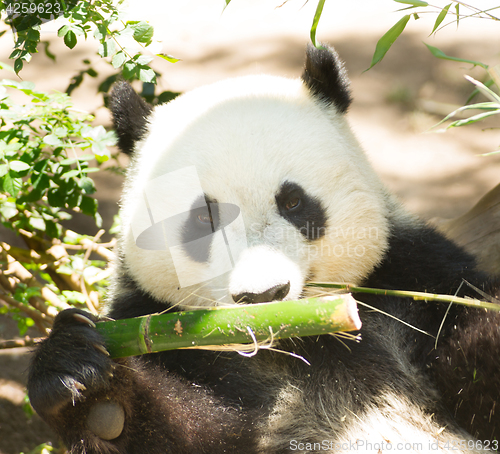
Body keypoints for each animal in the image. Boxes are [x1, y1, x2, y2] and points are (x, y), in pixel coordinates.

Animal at [26, 43, 500, 454]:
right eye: (204, 219)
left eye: (292, 202)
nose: (264, 295)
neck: (300, 341)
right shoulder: (158, 327)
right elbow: (196, 432)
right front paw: (86, 387)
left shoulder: (410, 278)